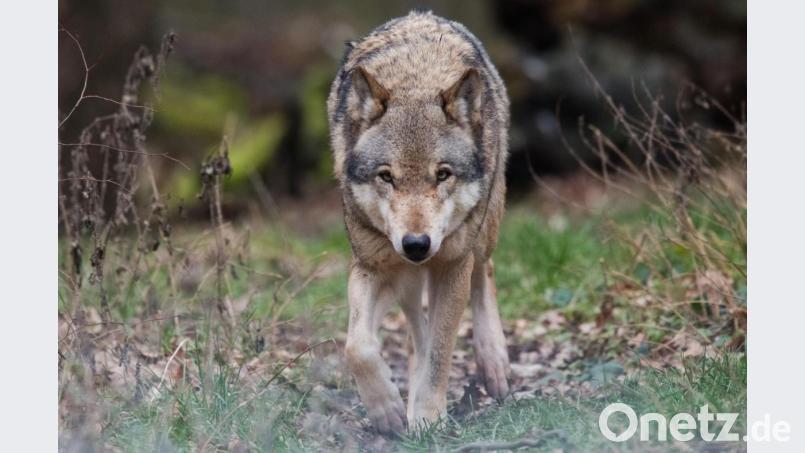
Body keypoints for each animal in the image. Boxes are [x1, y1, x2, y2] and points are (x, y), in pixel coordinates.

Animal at [327, 10, 511, 434]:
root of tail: (421, 15)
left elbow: (441, 352)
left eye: (442, 175)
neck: (416, 79)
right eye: (386, 176)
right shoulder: (373, 265)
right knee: (415, 328)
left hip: (482, 233)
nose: (416, 244)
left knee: (485, 272)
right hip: (406, 278)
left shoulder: (452, 266)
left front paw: (427, 416)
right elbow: (357, 346)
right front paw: (388, 409)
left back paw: (494, 364)